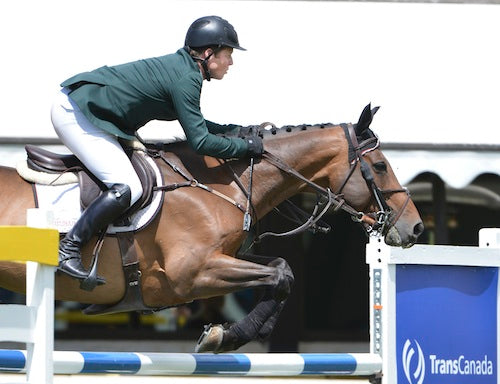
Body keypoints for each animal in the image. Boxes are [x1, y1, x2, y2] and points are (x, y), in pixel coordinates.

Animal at [0, 103, 422, 352]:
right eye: (380, 166)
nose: (415, 228)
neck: (218, 185)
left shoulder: (223, 258)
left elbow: (282, 270)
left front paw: (239, 334)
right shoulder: (191, 275)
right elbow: (279, 275)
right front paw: (227, 336)